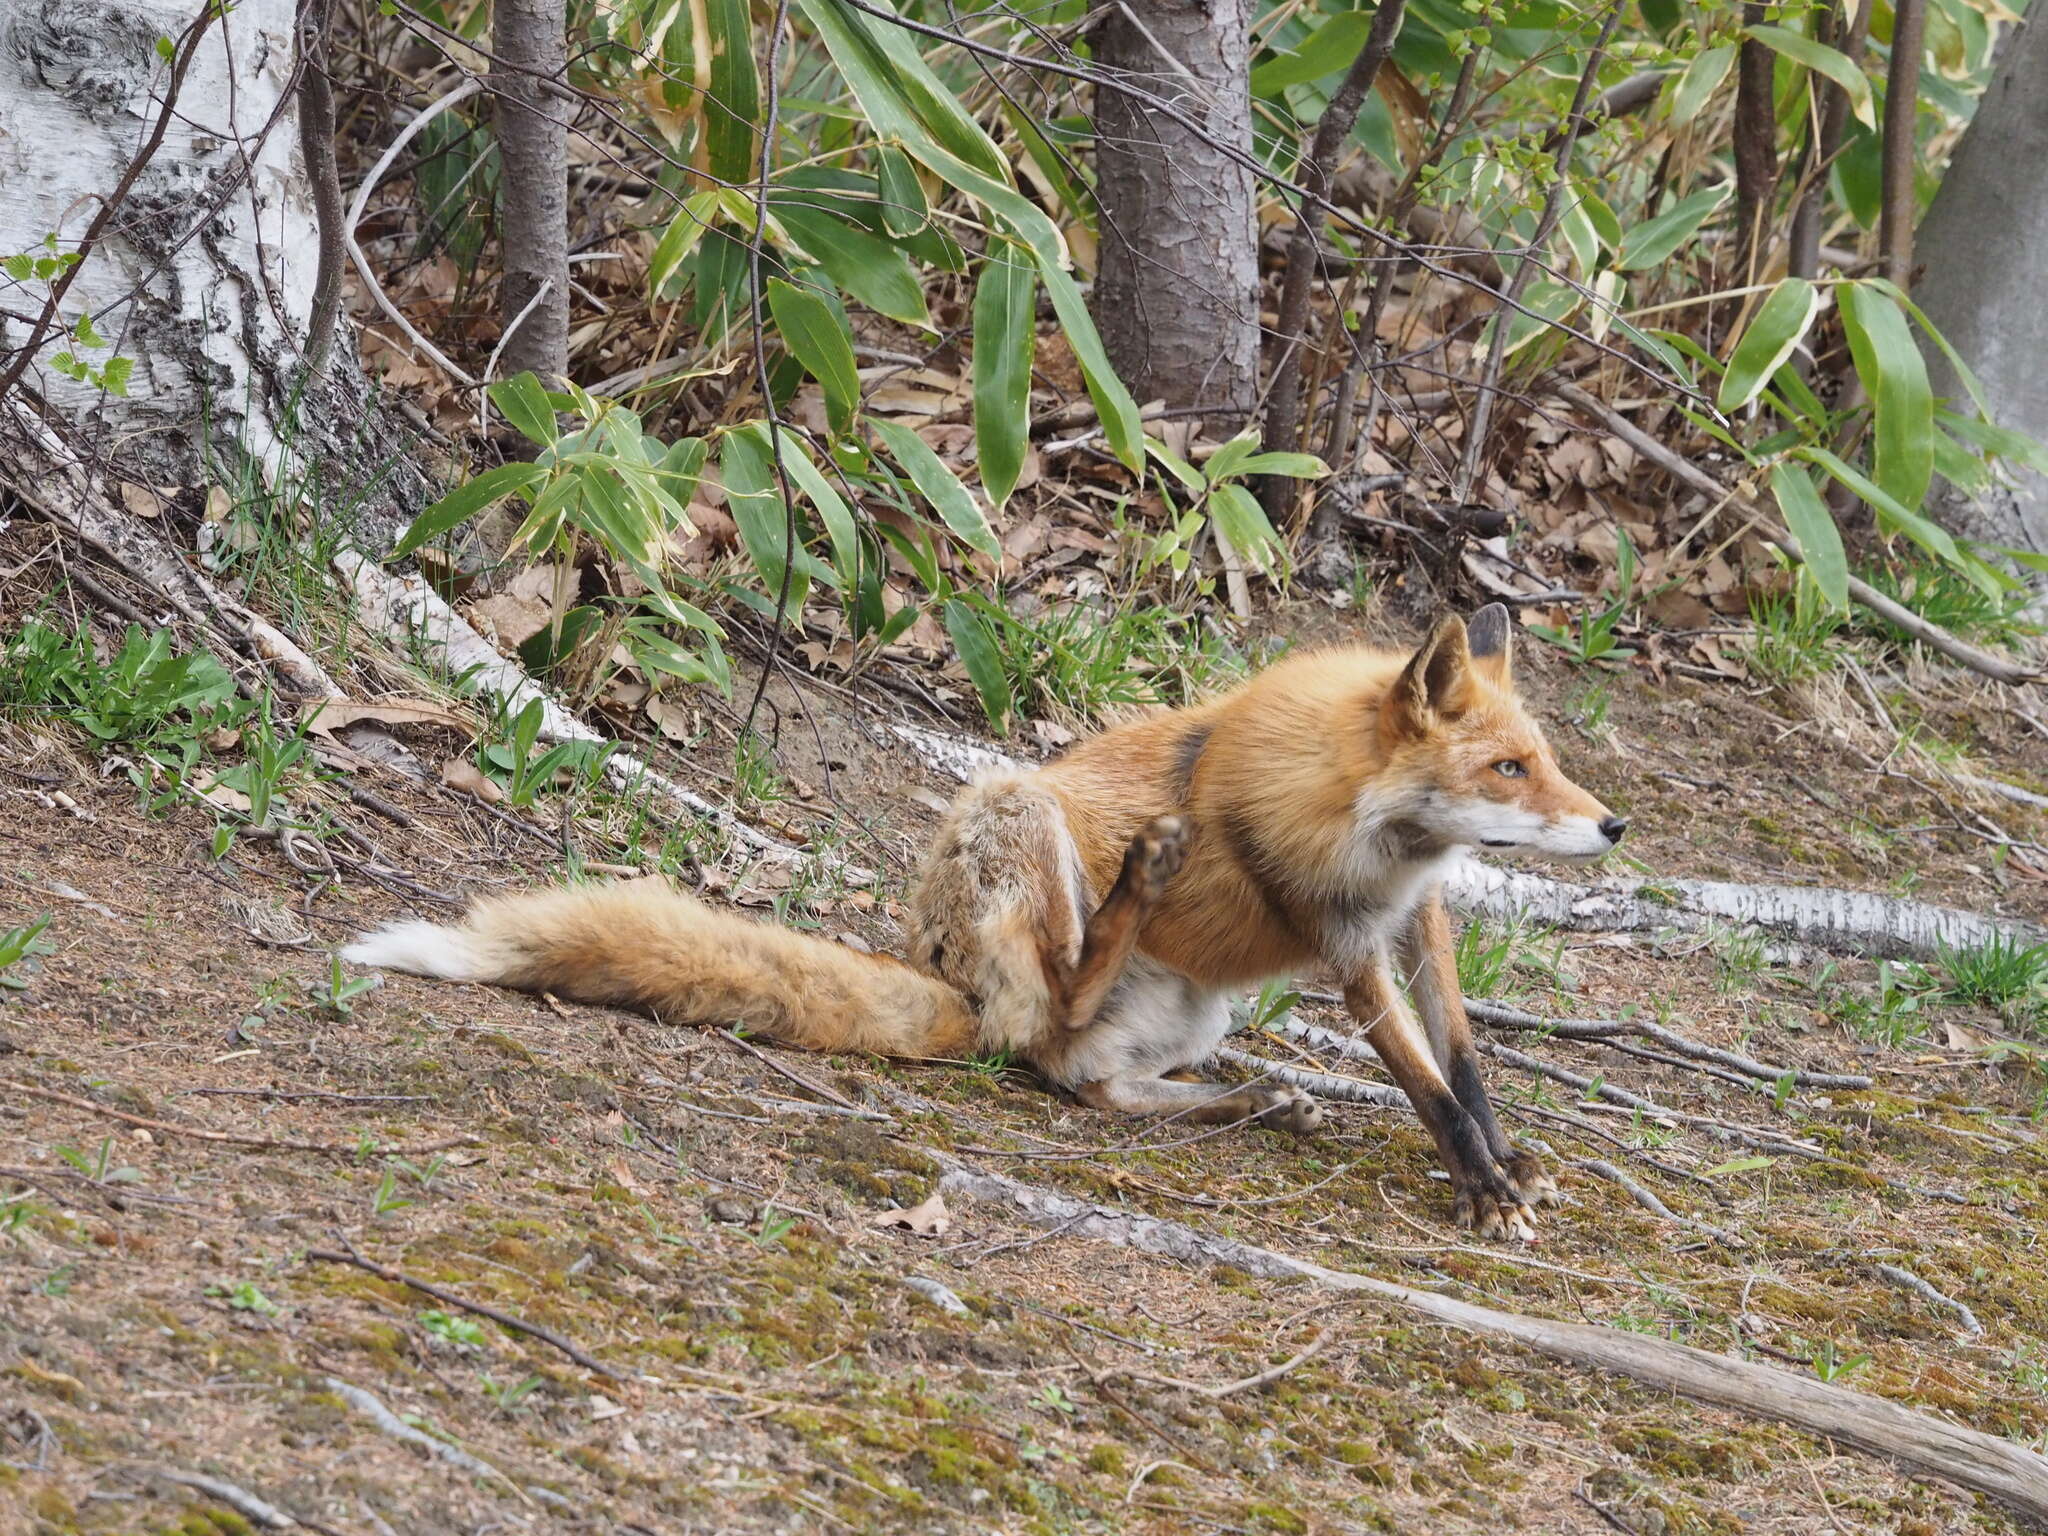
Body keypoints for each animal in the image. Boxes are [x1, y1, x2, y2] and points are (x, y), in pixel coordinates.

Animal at [352, 606, 1630, 1245]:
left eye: (1543, 761)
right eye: (1507, 769)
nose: (1613, 825)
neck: (1379, 835)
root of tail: (945, 976)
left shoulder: (1417, 925)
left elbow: (1460, 1058)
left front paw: (1504, 1162)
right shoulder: (1342, 941)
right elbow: (1422, 1084)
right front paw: (1482, 1190)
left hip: (1196, 1008)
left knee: (1086, 1082)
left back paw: (1251, 1100)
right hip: (1018, 814)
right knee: (1050, 1020)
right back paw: (1138, 897)